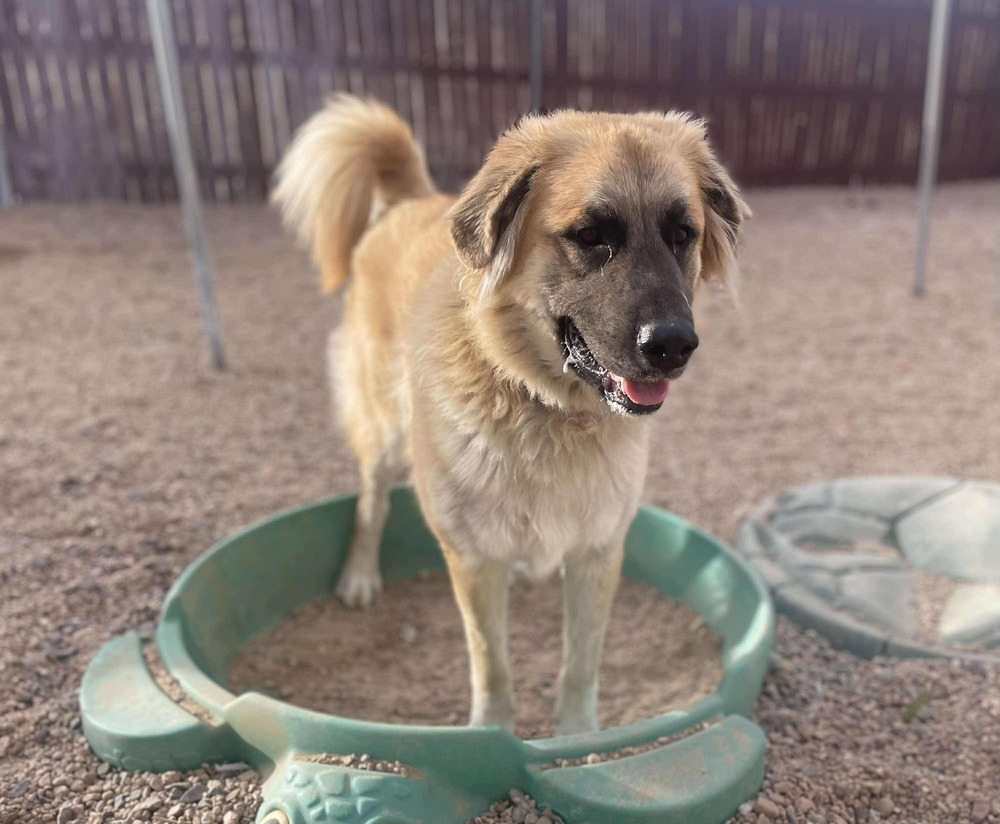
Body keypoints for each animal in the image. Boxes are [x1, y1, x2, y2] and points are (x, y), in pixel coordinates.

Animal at [270, 95, 748, 732]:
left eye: (682, 234)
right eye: (591, 235)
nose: (673, 345)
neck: (541, 404)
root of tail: (409, 199)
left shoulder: (598, 552)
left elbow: (580, 663)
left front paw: (577, 738)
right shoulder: (473, 559)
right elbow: (491, 662)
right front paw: (492, 735)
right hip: (384, 433)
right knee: (371, 504)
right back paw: (360, 575)